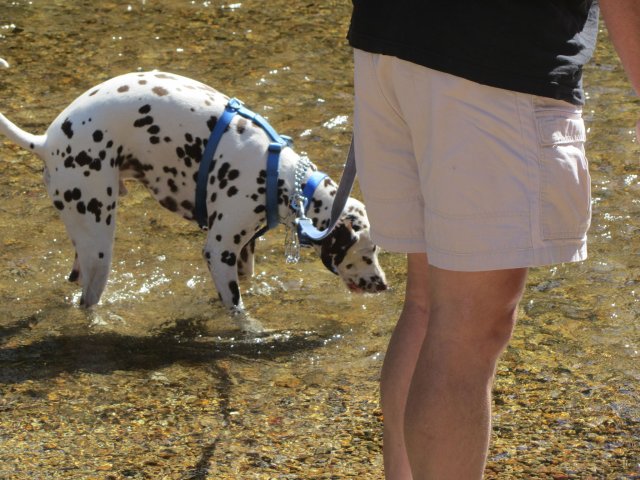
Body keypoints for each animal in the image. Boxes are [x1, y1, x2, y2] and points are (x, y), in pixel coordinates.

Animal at [0, 70, 384, 330]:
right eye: (367, 252)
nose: (384, 285)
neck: (281, 175)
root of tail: (45, 141)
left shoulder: (242, 252)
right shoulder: (219, 250)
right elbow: (238, 310)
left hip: (85, 246)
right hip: (99, 245)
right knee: (87, 302)